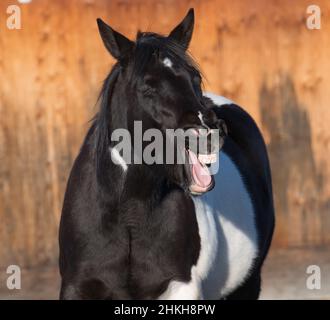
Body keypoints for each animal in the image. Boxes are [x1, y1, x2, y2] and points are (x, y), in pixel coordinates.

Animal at [58, 8, 274, 300]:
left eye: (195, 79)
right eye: (147, 87)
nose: (209, 132)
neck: (129, 215)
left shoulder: (179, 286)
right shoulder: (76, 285)